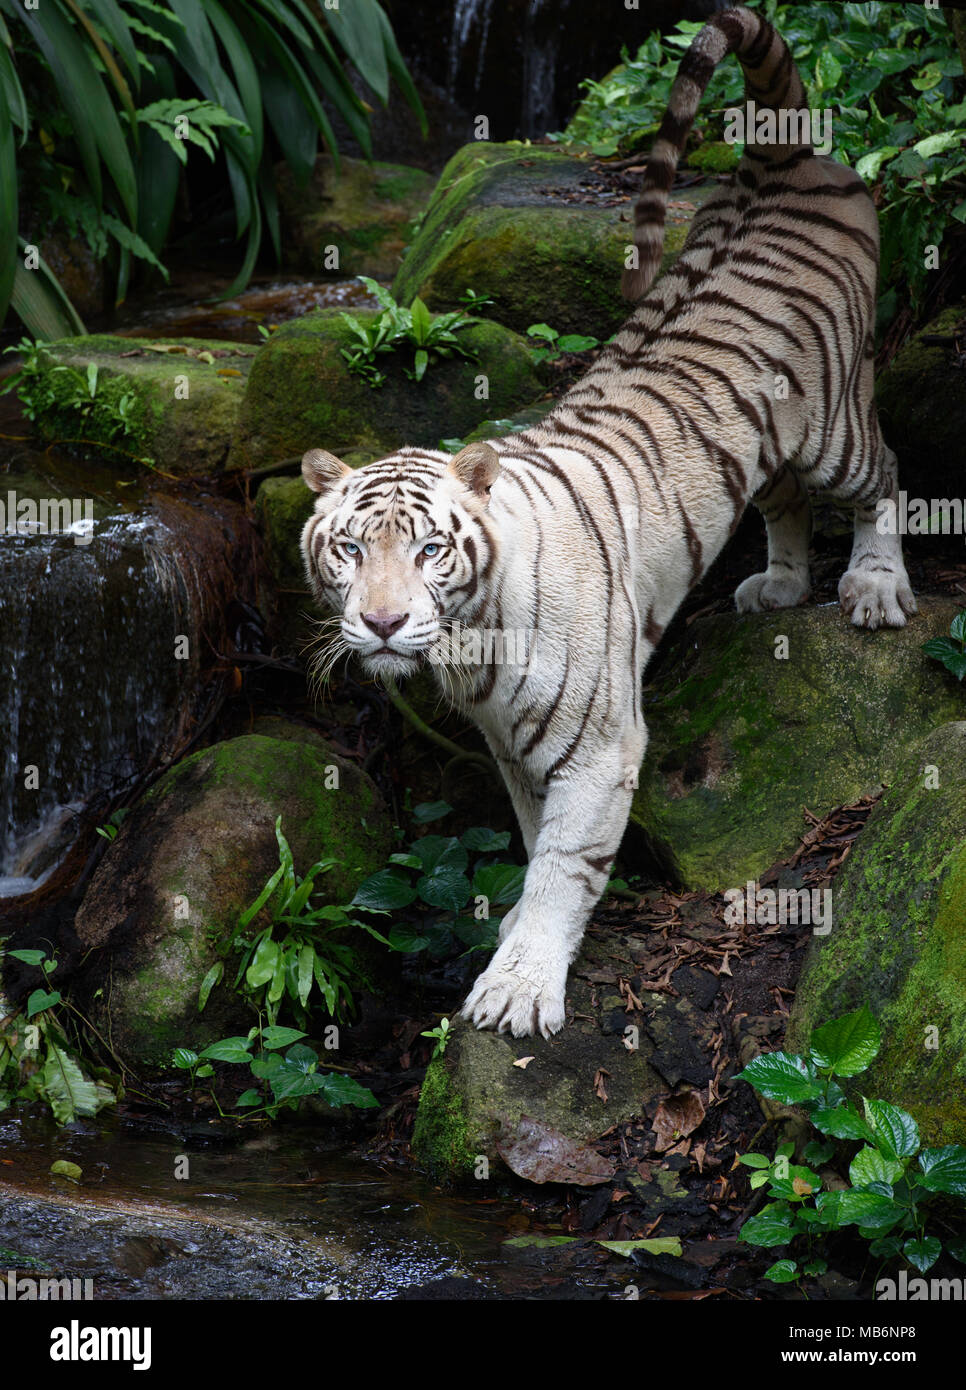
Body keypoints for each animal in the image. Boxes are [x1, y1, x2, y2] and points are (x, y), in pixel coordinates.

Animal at [299, 4, 916, 1039]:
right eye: (349, 549)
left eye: (429, 550)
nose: (381, 624)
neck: (468, 645)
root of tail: (780, 158)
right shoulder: (511, 748)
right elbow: (531, 840)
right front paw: (515, 934)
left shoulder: (599, 747)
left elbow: (562, 865)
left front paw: (517, 987)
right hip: (762, 443)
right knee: (783, 498)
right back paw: (783, 582)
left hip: (831, 422)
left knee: (885, 476)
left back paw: (872, 586)